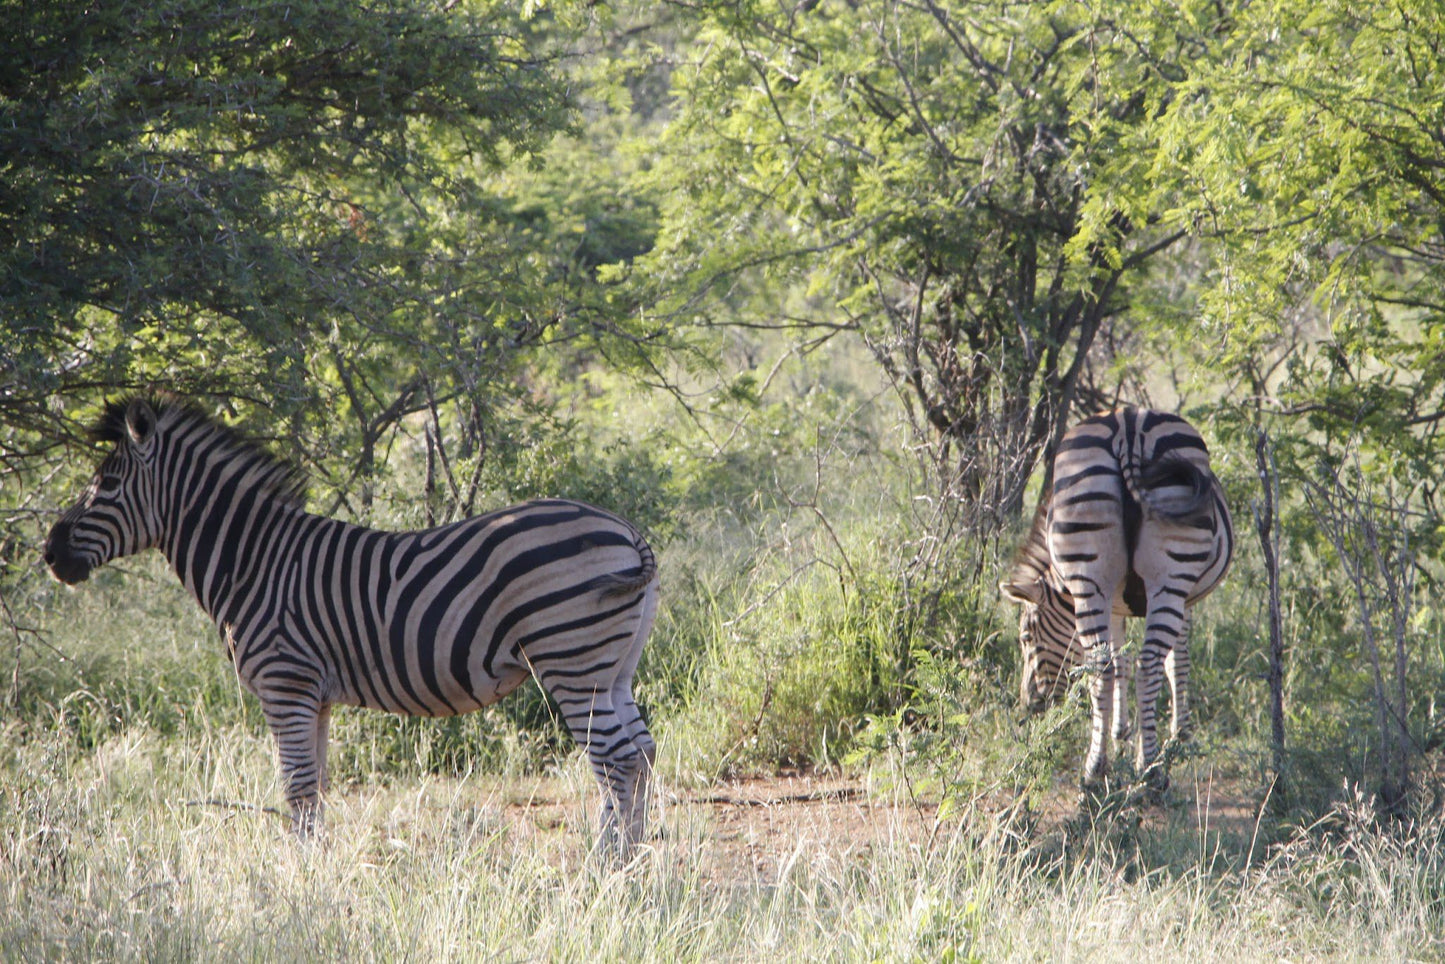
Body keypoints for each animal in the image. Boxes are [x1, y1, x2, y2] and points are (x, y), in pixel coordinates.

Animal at [39, 396, 661, 855]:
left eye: (106, 484)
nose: (49, 553)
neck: (252, 562)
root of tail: (626, 530)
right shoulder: (314, 696)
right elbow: (314, 788)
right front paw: (315, 868)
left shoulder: (285, 683)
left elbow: (296, 787)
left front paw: (300, 878)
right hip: (614, 668)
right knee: (643, 752)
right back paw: (636, 864)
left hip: (571, 662)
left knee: (616, 760)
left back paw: (605, 867)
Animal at [1005, 407, 1231, 792]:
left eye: (1025, 637)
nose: (1029, 706)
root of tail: (1129, 423)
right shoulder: (1183, 599)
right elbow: (1173, 662)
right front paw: (1173, 737)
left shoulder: (1113, 603)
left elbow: (1121, 661)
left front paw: (1123, 735)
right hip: (1170, 577)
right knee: (1150, 663)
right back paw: (1150, 769)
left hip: (1090, 572)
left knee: (1101, 665)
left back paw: (1096, 771)